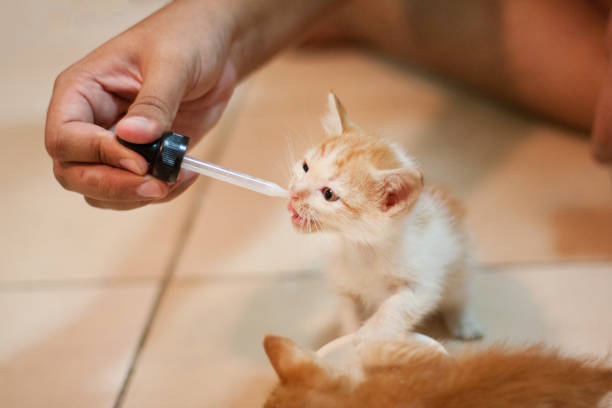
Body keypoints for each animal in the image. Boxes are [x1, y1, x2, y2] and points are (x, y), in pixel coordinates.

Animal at [290, 92, 480, 342]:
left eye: (329, 194)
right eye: (305, 167)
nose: (293, 193)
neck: (364, 248)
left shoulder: (421, 283)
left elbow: (395, 310)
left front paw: (365, 339)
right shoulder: (345, 282)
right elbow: (349, 309)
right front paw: (349, 337)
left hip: (461, 261)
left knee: (459, 294)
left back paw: (464, 322)